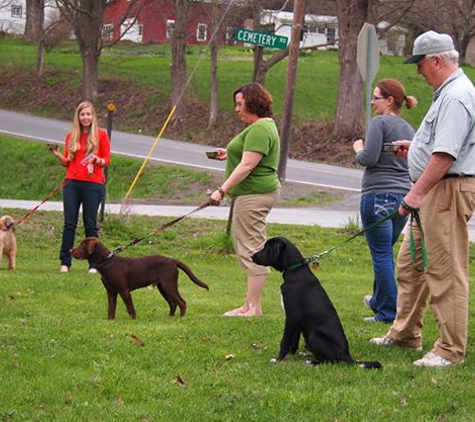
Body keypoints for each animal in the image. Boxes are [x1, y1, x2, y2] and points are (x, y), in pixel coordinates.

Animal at [251, 237, 382, 370]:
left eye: (267, 247)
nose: (252, 256)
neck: (295, 271)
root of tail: (347, 356)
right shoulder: (297, 322)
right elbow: (294, 341)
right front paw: (290, 356)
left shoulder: (292, 316)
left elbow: (285, 340)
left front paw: (278, 360)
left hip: (313, 336)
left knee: (331, 361)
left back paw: (311, 362)